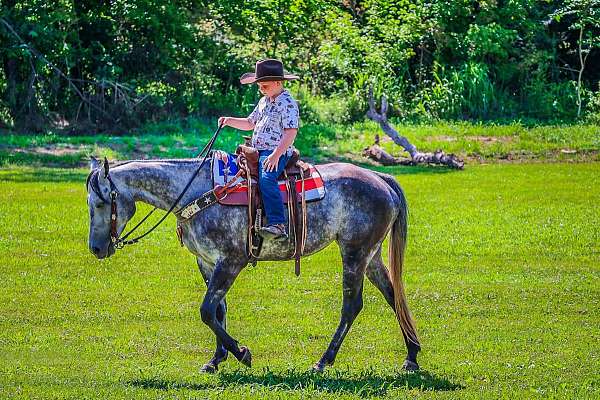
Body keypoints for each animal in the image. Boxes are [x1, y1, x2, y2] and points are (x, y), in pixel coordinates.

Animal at [86, 156, 420, 372]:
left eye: (100, 203)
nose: (96, 248)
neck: (197, 192)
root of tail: (380, 178)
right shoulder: (207, 262)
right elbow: (218, 311)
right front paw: (216, 359)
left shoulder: (232, 261)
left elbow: (206, 310)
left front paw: (242, 354)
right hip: (371, 255)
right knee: (393, 295)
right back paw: (412, 356)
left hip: (354, 252)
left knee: (352, 306)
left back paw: (323, 361)